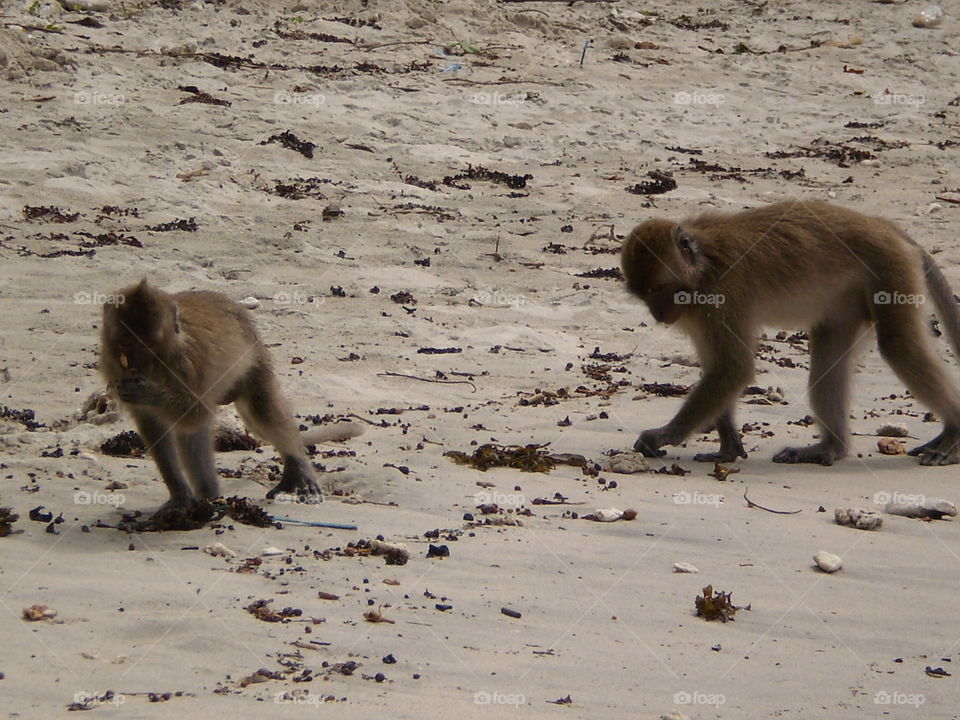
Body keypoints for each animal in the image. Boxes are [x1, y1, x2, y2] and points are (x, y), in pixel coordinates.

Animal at [100, 278, 362, 510]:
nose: (137, 366)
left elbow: (196, 413)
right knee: (195, 432)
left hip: (254, 358)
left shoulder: (189, 364)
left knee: (259, 413)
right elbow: (154, 425)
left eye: (147, 346)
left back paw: (295, 468)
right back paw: (208, 496)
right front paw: (180, 496)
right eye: (126, 345)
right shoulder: (114, 368)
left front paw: (147, 392)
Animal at [620, 200, 960, 467]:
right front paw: (728, 446)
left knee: (899, 346)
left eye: (659, 288)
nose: (658, 315)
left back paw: (953, 433)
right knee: (828, 360)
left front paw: (663, 435)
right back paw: (830, 448)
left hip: (889, 268)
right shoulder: (698, 314)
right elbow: (720, 368)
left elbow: (733, 369)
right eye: (644, 295)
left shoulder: (720, 297)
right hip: (849, 300)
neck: (703, 265)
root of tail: (884, 227)